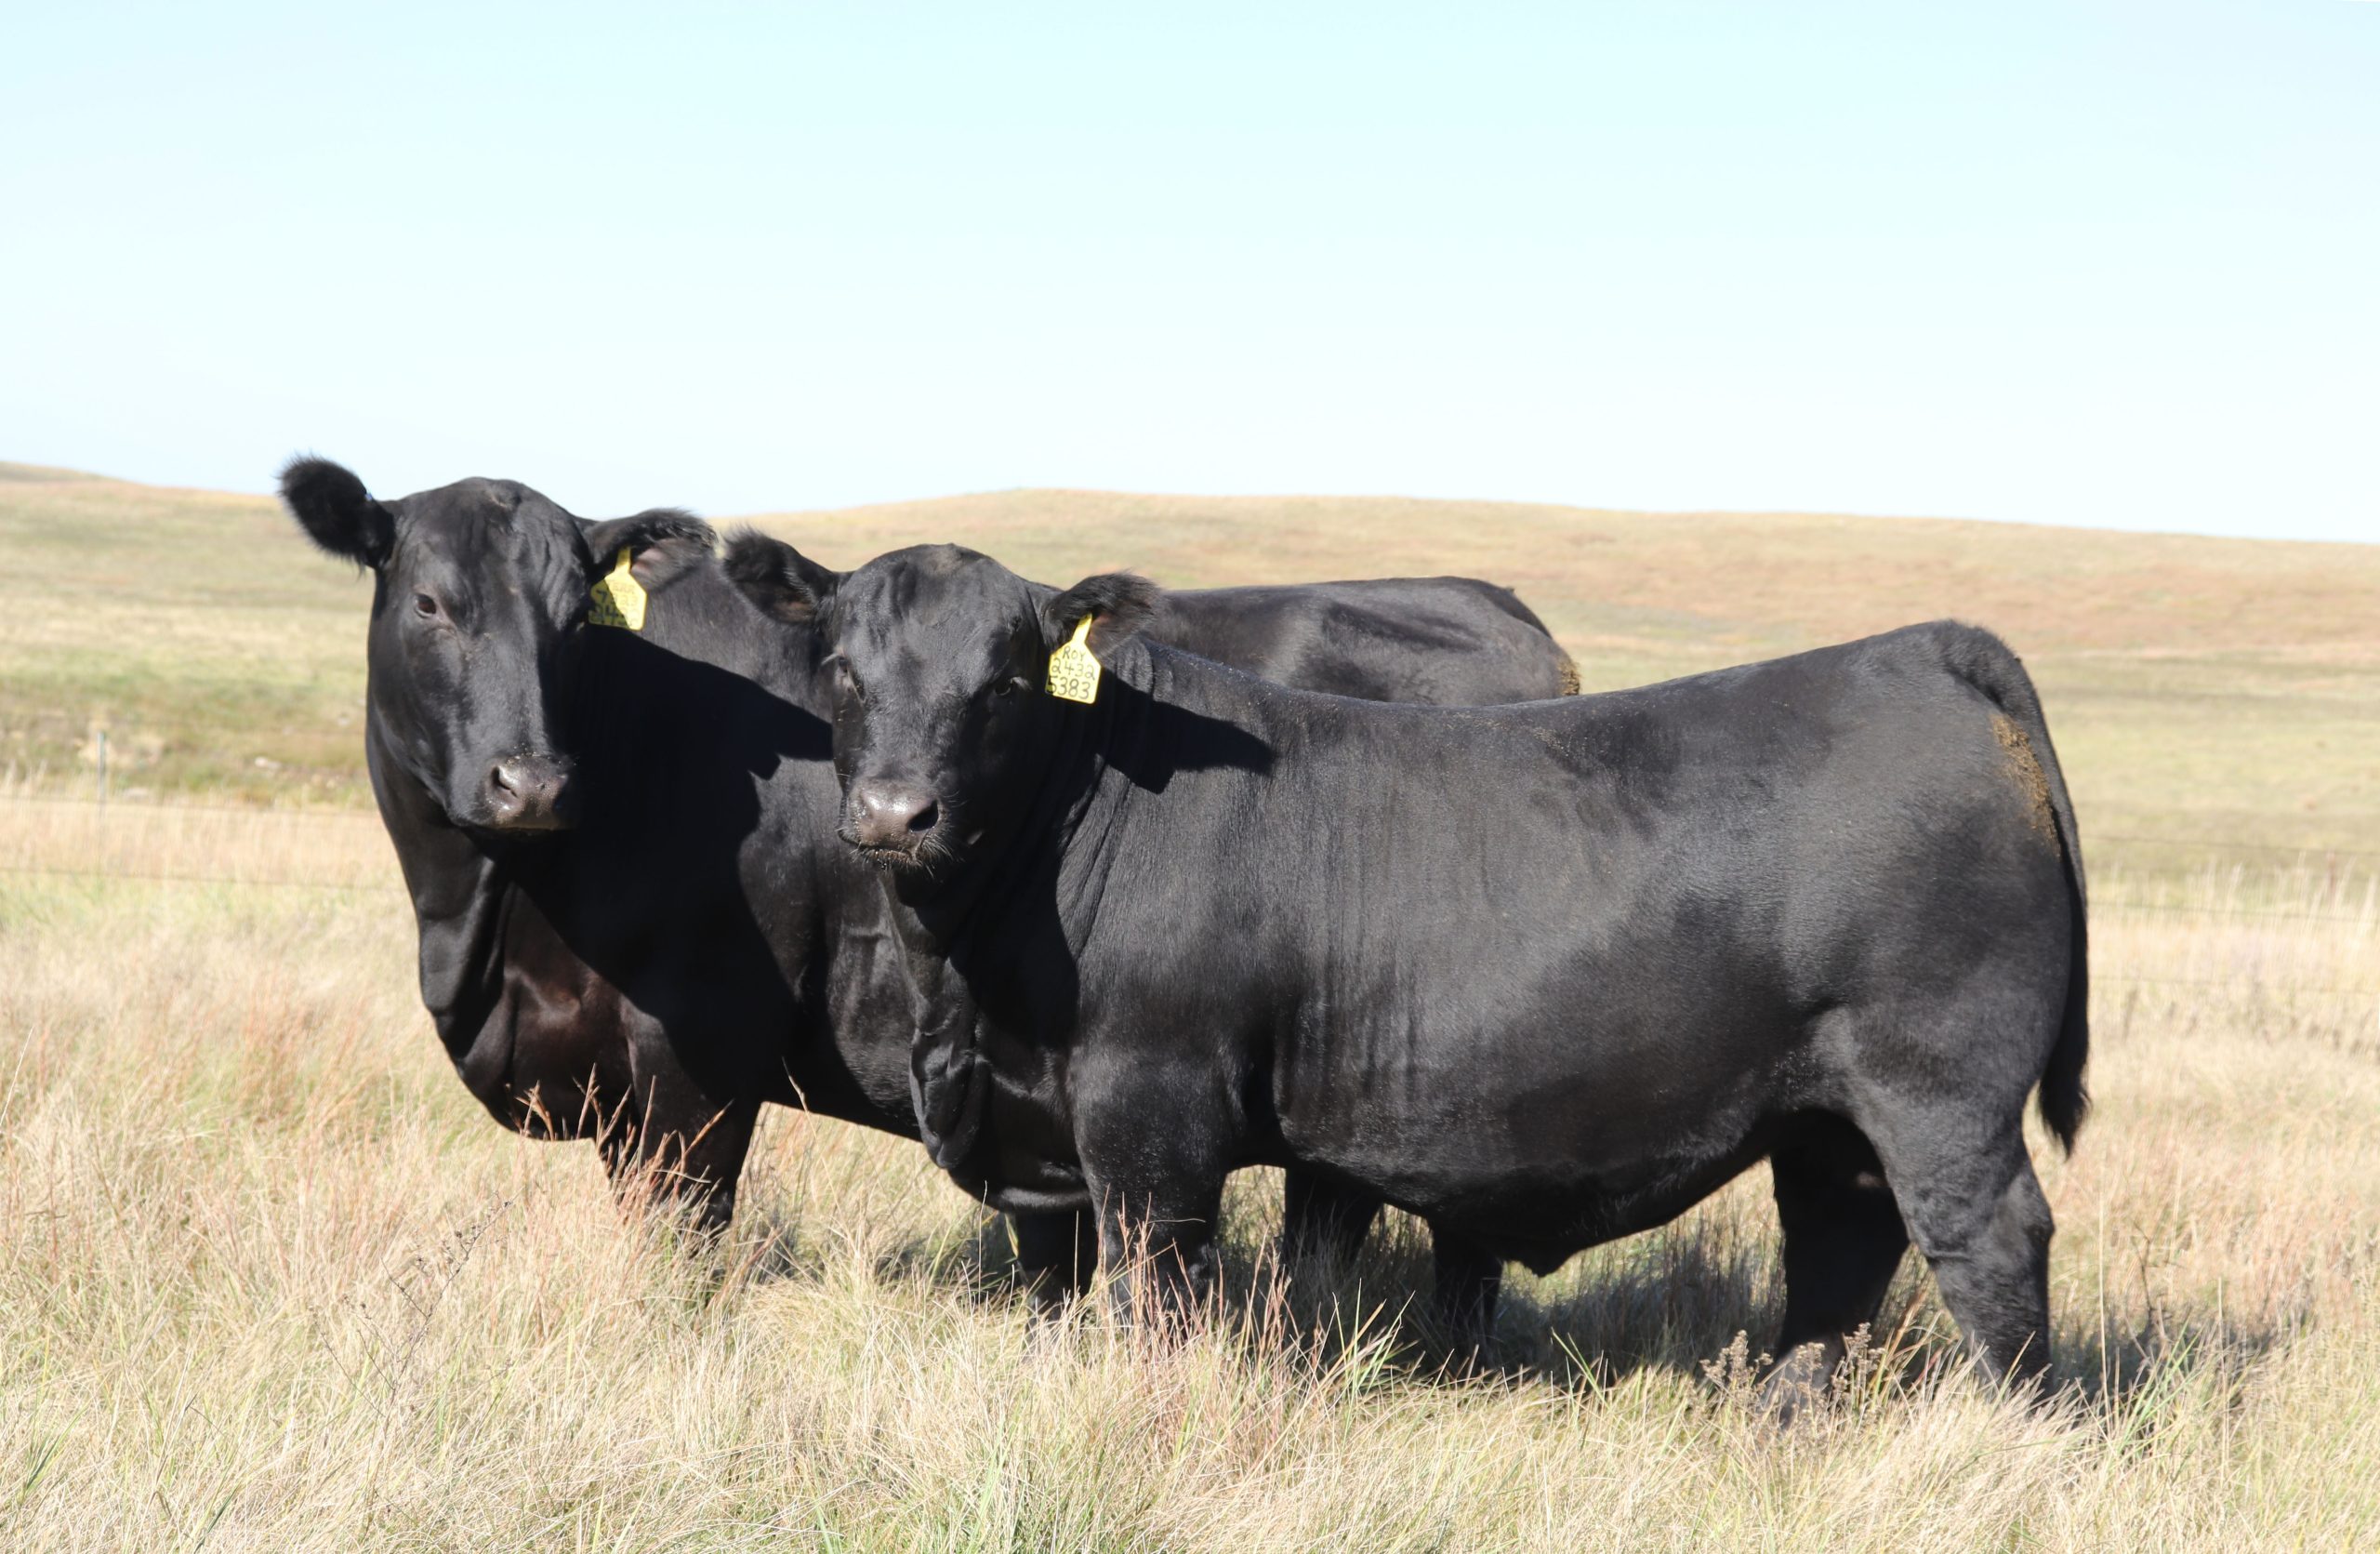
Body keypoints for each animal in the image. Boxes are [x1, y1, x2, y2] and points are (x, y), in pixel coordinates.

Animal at [277, 458, 1574, 1308]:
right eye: (430, 604)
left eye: (573, 625)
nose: (531, 779)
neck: (484, 921)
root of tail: (1500, 609)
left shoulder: (697, 1045)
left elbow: (680, 1235)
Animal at [729, 538, 2090, 1403]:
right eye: (844, 668)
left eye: (1004, 680)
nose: (896, 813)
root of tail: (1916, 650)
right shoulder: (1041, 1124)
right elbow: (1064, 1286)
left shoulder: (1150, 1109)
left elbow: (1152, 1291)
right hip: (1827, 1108)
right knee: (1839, 1247)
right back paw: (1782, 1419)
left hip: (1937, 1088)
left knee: (1986, 1245)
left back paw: (2014, 1436)